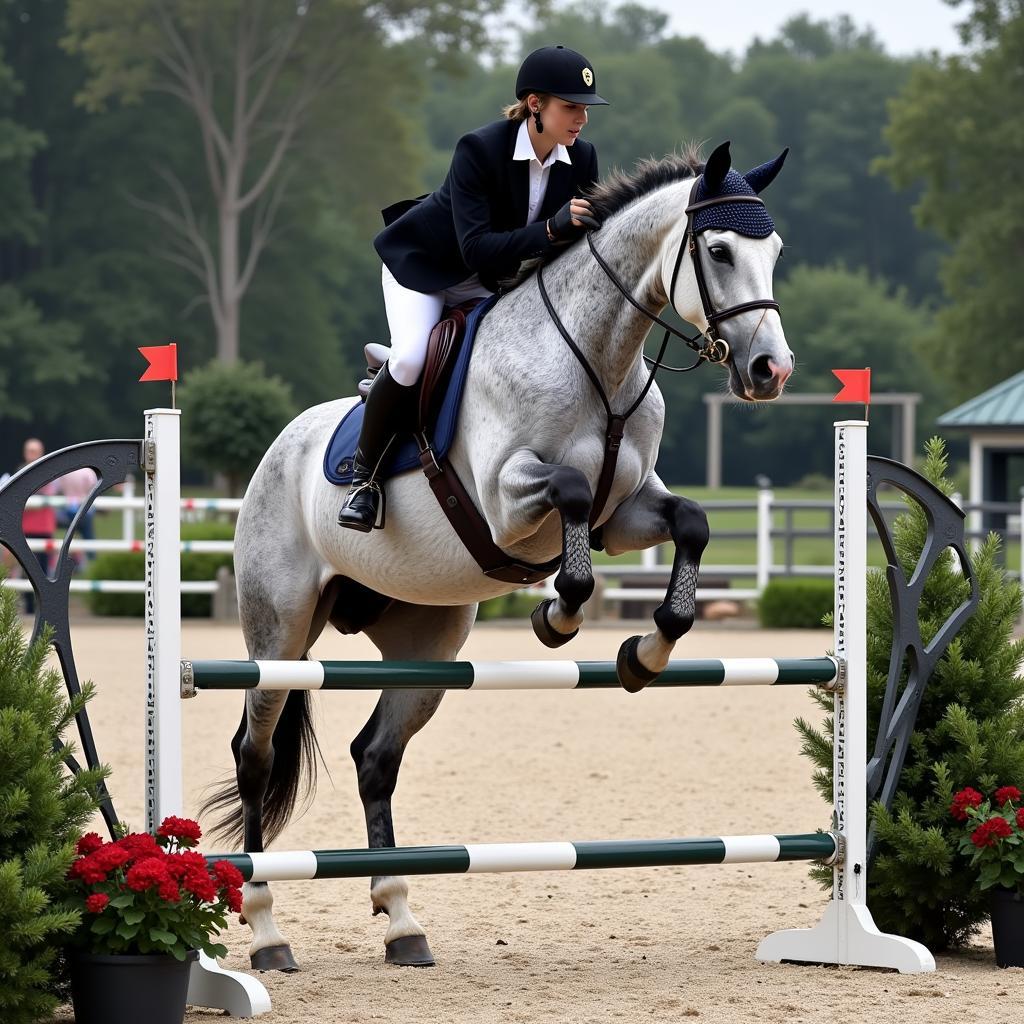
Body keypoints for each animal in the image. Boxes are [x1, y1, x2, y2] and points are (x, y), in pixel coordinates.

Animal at [199, 140, 790, 970]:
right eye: (718, 250)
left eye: (775, 250)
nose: (772, 371)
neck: (598, 361)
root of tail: (279, 450)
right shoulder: (511, 505)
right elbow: (569, 497)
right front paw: (557, 616)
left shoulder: (626, 514)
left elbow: (693, 522)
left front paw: (646, 650)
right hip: (278, 628)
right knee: (254, 753)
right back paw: (266, 933)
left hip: (428, 641)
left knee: (375, 756)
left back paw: (403, 921)